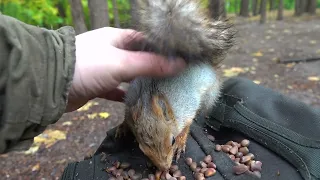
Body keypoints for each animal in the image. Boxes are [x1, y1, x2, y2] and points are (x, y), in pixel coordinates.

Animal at [114, 0, 235, 173]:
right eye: (142, 149)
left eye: (172, 140)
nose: (164, 168)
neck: (148, 100)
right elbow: (127, 118)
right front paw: (123, 126)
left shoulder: (187, 107)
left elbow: (187, 125)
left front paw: (180, 141)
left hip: (210, 94)